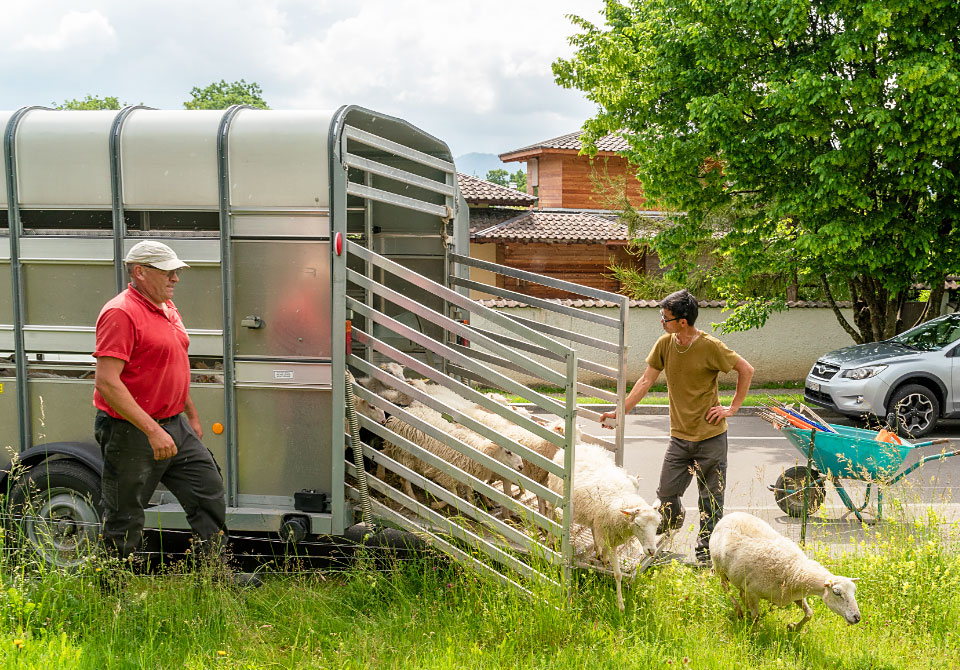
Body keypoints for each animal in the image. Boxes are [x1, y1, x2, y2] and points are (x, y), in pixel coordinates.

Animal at [548, 444, 660, 612]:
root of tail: (580, 445)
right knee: (548, 512)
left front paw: (604, 561)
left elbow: (611, 566)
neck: (622, 499)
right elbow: (618, 574)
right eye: (638, 524)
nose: (651, 551)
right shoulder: (609, 537)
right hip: (555, 496)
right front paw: (620, 606)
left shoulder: (609, 535)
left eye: (658, 525)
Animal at [704, 516, 864, 636]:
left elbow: (809, 613)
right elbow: (756, 616)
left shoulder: (795, 594)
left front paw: (792, 627)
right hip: (719, 568)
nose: (857, 618)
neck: (794, 568)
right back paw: (739, 610)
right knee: (726, 589)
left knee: (740, 592)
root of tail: (728, 516)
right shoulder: (753, 592)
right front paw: (756, 633)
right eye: (837, 593)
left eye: (854, 591)